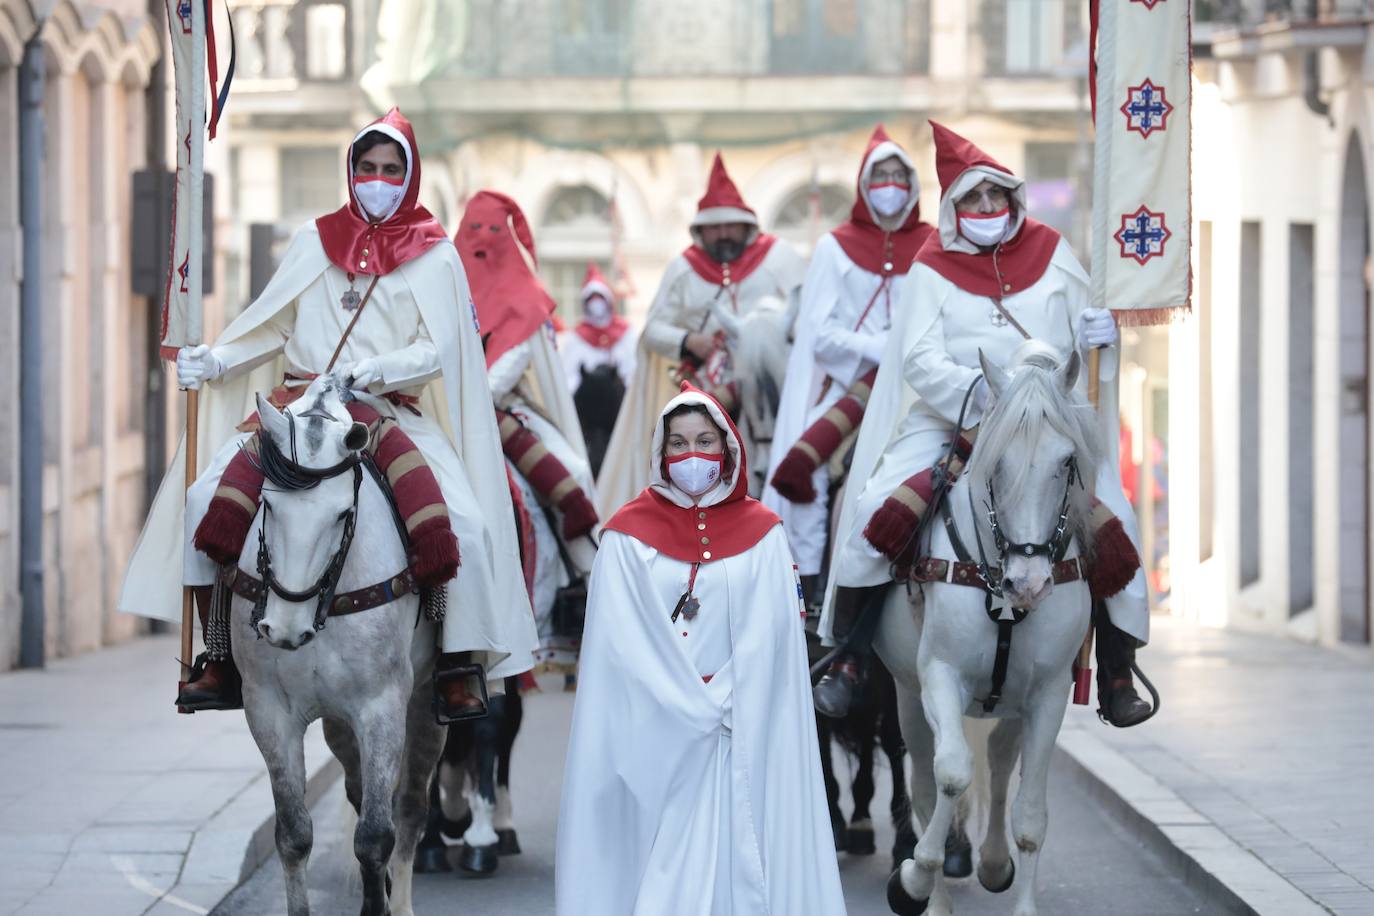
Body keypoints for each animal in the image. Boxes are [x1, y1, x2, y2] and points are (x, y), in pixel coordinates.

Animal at [232, 376, 445, 911]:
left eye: (342, 514)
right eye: (267, 504)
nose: (284, 630)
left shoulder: (382, 707)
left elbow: (374, 836)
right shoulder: (268, 709)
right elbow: (293, 835)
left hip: (426, 701)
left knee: (409, 808)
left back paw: (401, 900)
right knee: (358, 790)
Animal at [879, 346, 1104, 916]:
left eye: (1066, 461)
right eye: (996, 463)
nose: (1029, 582)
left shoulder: (1048, 694)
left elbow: (1030, 816)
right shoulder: (938, 677)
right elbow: (952, 775)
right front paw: (913, 879)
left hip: (1008, 706)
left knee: (1000, 763)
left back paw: (996, 863)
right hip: (907, 696)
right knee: (926, 780)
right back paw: (933, 895)